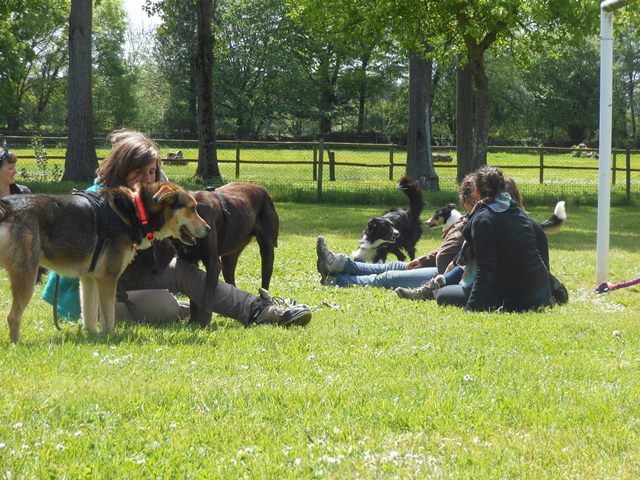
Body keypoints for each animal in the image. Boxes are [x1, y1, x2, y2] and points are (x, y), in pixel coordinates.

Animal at [0, 182, 210, 344]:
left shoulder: (88, 279)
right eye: (193, 209)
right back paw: (17, 344)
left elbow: (89, 315)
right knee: (12, 317)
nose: (208, 228)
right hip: (27, 278)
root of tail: (6, 206)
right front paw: (110, 337)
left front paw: (93, 337)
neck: (136, 212)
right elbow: (109, 316)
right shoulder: (108, 279)